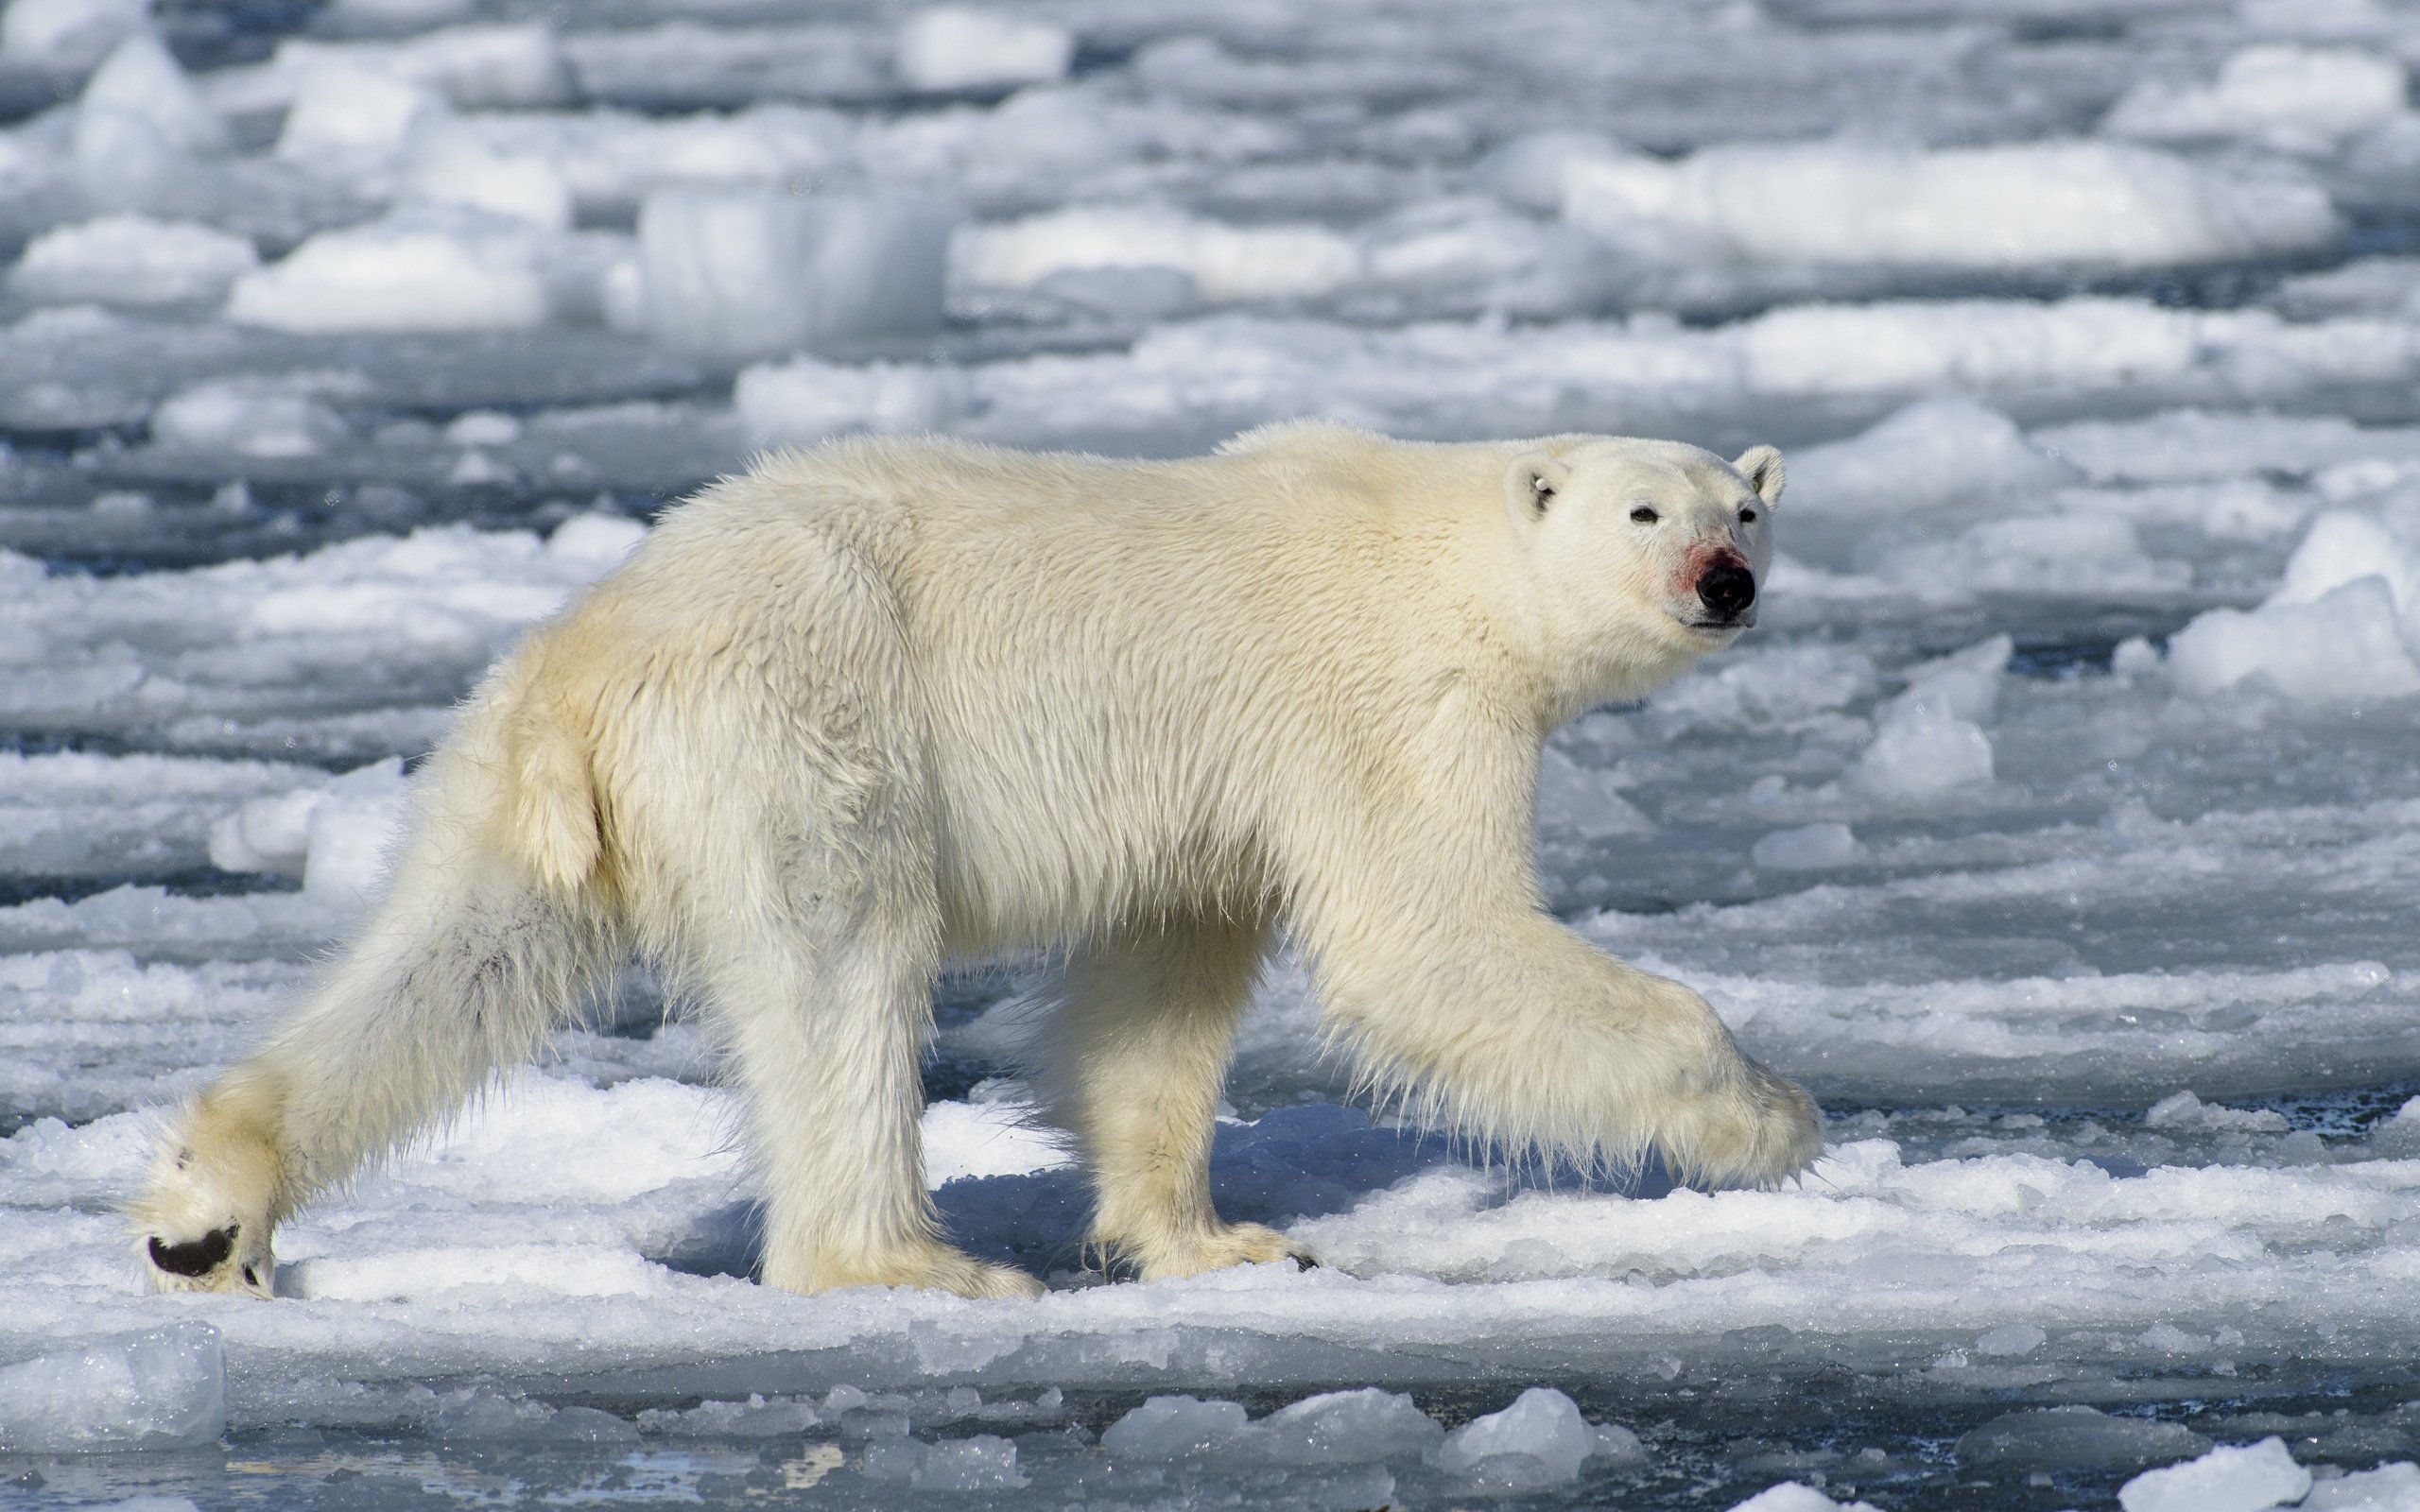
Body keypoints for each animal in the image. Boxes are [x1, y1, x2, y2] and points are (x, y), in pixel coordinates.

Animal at [137, 421, 1820, 1297]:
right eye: (1645, 509)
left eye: (1747, 509)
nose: (1723, 581)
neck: (1440, 542)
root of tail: (596, 653)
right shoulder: (1391, 701)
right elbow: (1427, 940)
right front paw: (1769, 1118)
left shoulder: (1215, 794)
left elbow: (1162, 987)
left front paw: (1212, 1238)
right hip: (806, 727)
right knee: (842, 968)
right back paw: (906, 1262)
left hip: (520, 786)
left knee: (454, 962)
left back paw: (210, 1209)